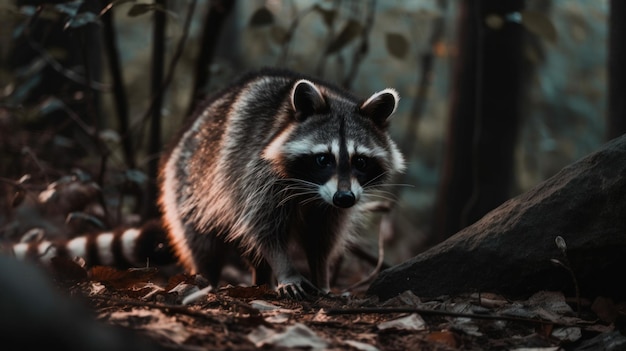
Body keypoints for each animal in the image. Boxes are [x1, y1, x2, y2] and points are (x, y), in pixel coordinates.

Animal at [160, 69, 404, 300]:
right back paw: (206, 278)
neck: (312, 190)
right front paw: (287, 272)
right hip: (190, 186)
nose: (344, 198)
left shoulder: (332, 205)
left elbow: (321, 237)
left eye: (360, 161)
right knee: (202, 243)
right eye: (323, 159)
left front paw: (321, 277)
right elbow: (264, 227)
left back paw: (261, 280)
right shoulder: (257, 173)